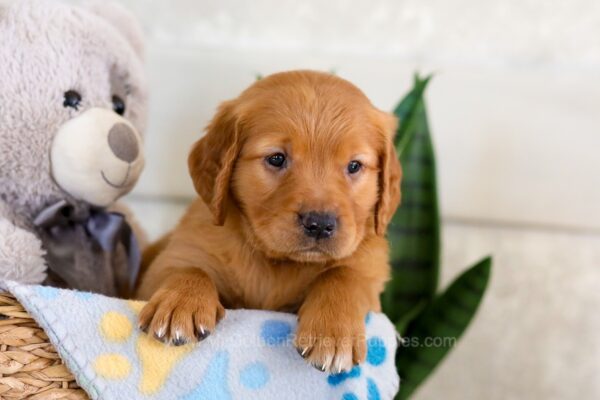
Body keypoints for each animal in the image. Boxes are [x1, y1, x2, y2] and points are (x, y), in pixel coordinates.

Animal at [135, 70, 398, 374]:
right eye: (276, 158)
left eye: (354, 166)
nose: (320, 224)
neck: (276, 262)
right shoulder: (167, 263)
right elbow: (190, 268)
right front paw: (179, 304)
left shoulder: (371, 278)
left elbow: (343, 274)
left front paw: (333, 332)